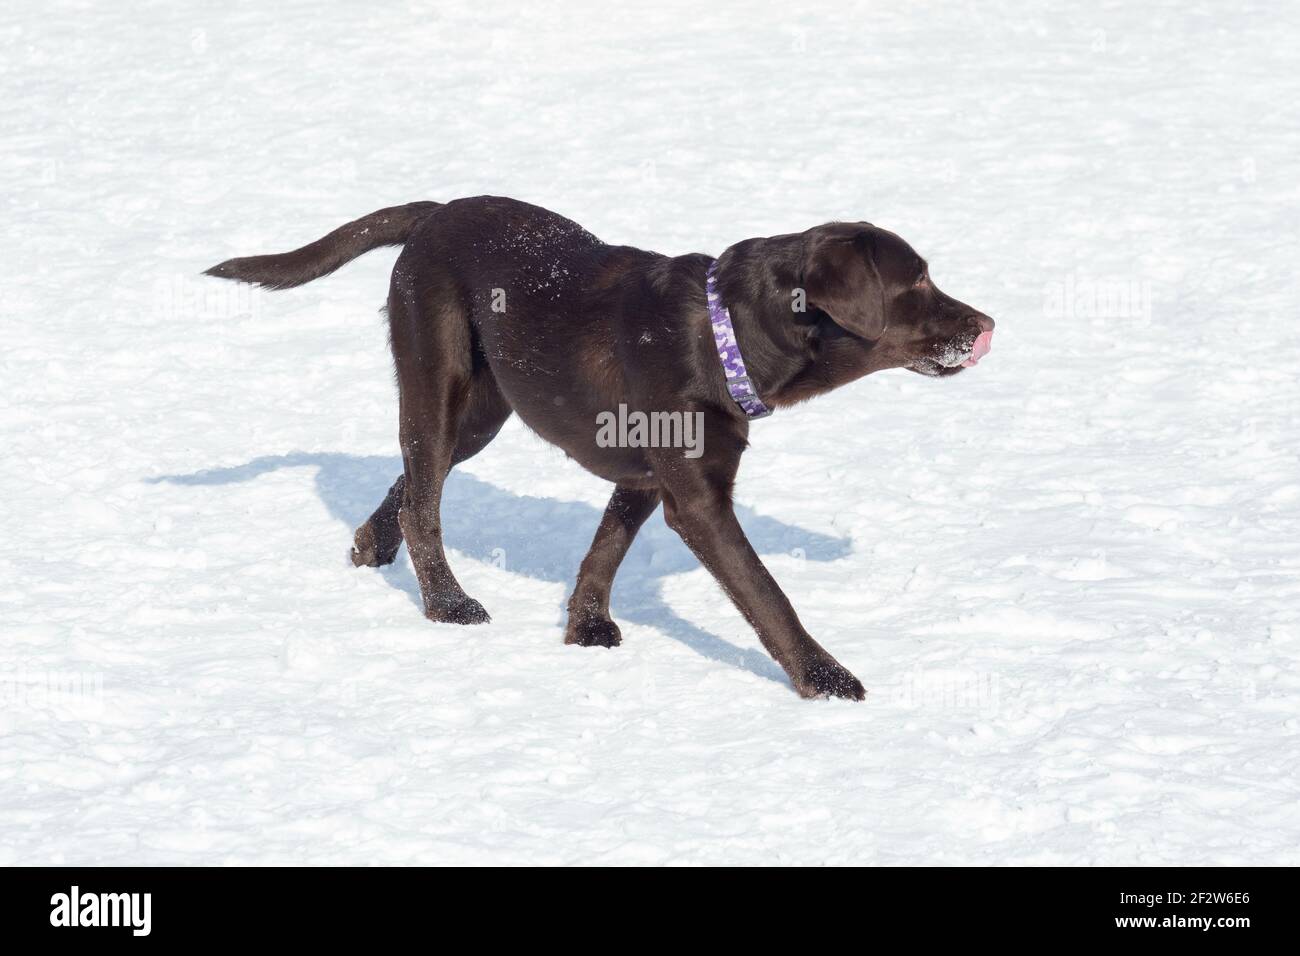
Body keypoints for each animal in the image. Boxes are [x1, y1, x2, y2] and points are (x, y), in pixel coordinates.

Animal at [205, 196, 993, 702]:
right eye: (919, 278)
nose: (988, 323)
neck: (728, 335)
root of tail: (434, 212)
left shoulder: (650, 474)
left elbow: (606, 548)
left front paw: (585, 624)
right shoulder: (698, 501)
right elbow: (767, 594)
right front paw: (824, 680)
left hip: (484, 411)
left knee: (410, 483)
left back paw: (373, 543)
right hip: (438, 381)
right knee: (424, 501)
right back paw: (449, 605)